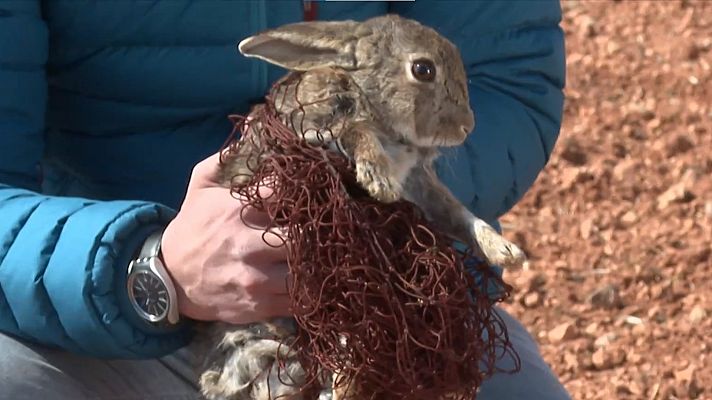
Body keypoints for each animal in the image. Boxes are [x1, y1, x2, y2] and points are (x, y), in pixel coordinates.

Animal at [196, 13, 528, 400]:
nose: (465, 127)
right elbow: (355, 130)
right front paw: (378, 179)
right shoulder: (315, 126)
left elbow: (459, 215)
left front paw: (505, 251)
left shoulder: (420, 184)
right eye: (423, 69)